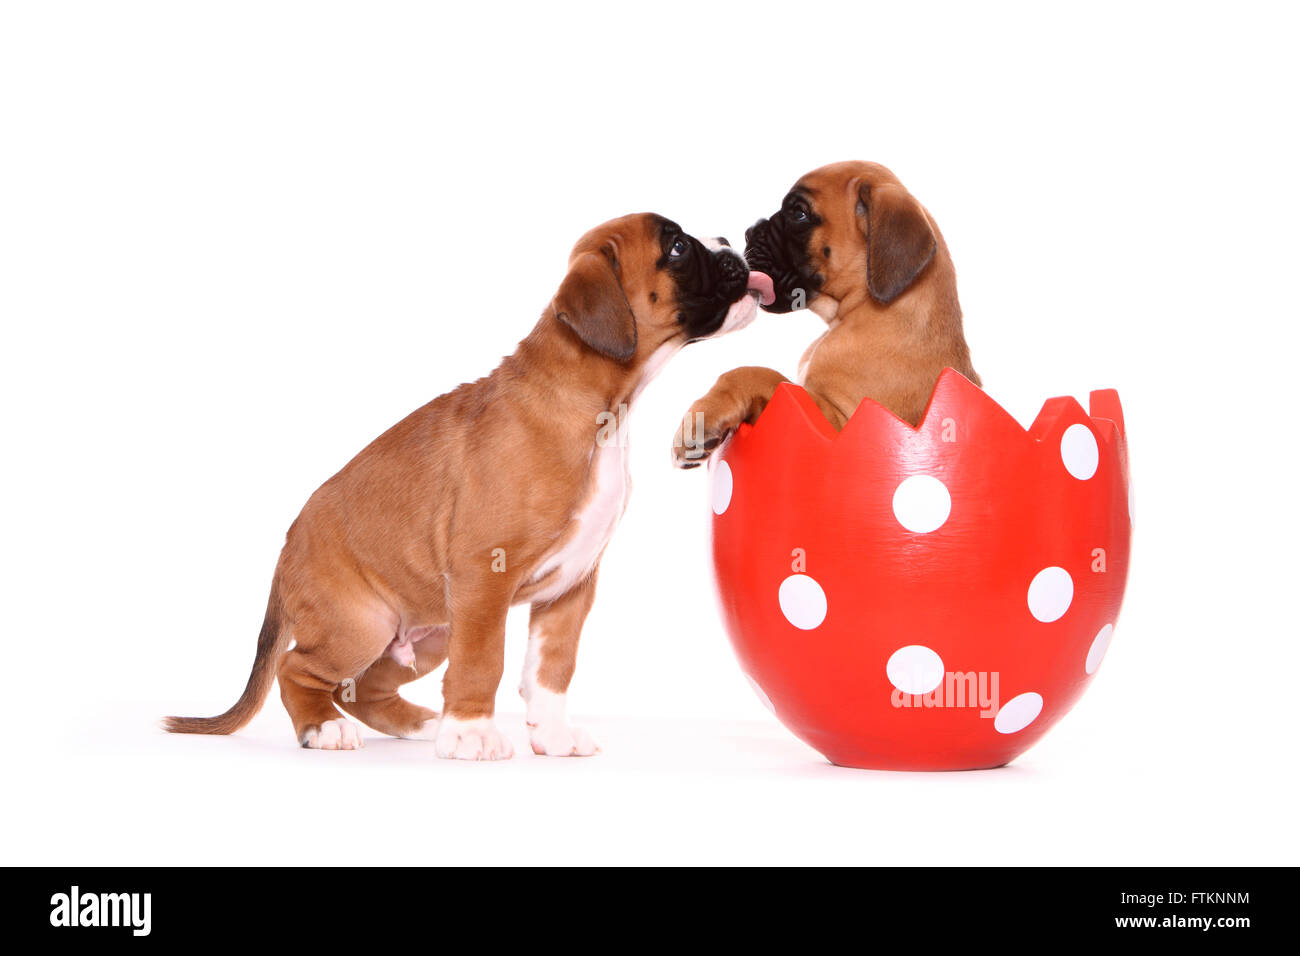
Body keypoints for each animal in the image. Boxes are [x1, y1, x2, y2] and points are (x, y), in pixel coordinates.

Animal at [162, 213, 769, 759]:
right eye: (676, 248)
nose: (730, 242)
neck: (597, 409)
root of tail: (286, 546)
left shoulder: (572, 586)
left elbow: (553, 667)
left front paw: (552, 735)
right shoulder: (485, 578)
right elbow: (483, 661)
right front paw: (473, 734)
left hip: (425, 633)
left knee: (364, 688)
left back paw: (418, 723)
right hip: (364, 622)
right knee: (299, 669)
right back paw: (324, 728)